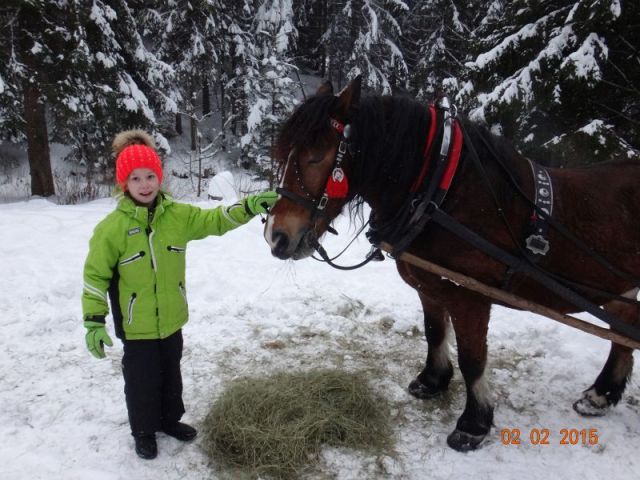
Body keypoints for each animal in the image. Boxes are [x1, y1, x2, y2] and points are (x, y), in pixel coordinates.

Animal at [262, 77, 640, 452]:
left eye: (316, 157)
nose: (276, 236)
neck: (439, 194)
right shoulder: (430, 286)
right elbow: (434, 332)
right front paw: (432, 381)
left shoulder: (469, 297)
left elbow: (472, 359)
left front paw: (474, 424)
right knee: (624, 332)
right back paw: (600, 395)